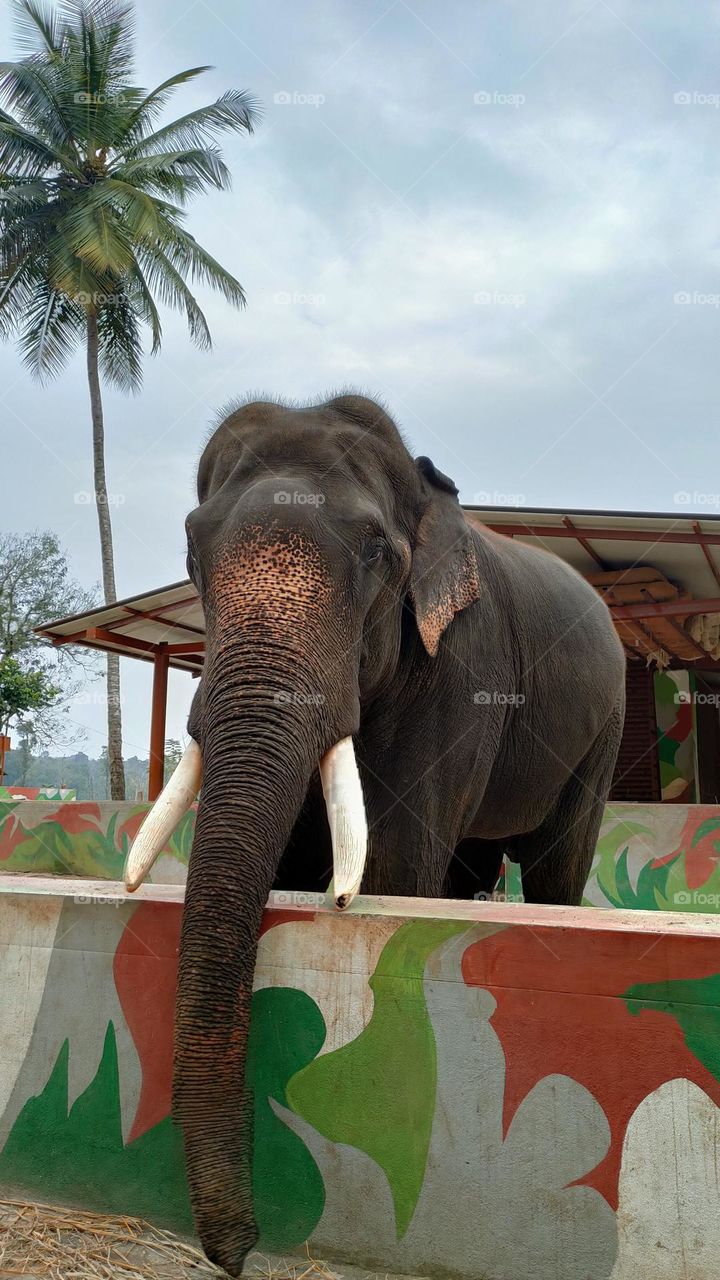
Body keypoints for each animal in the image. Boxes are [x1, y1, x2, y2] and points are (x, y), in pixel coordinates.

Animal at [125, 393, 625, 1275]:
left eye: (374, 553)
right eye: (190, 549)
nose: (240, 1251)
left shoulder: (462, 666)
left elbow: (396, 862)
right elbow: (297, 858)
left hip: (603, 726)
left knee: (555, 862)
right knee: (469, 866)